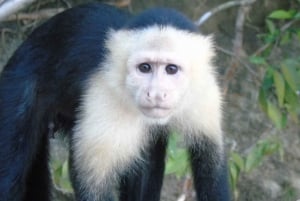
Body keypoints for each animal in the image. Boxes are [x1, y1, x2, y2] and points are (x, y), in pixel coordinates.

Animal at [0, 2, 230, 201]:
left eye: (171, 69)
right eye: (144, 68)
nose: (156, 94)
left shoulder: (205, 91)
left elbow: (212, 163)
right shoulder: (104, 97)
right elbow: (92, 182)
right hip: (16, 86)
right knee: (11, 171)